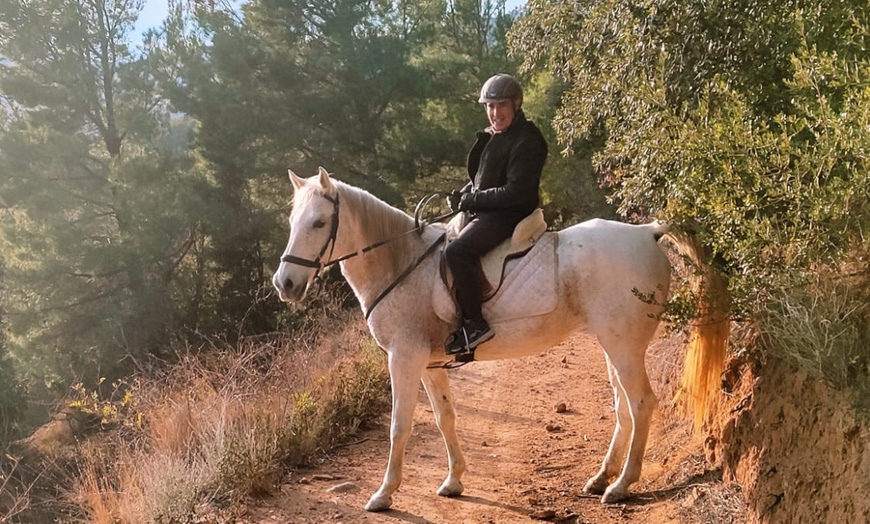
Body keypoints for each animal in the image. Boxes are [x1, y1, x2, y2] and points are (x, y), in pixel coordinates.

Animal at [274, 168, 724, 512]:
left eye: (319, 223)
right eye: (293, 223)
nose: (285, 284)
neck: (401, 262)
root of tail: (647, 232)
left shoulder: (403, 358)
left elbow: (400, 426)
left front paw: (384, 494)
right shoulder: (429, 364)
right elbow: (445, 417)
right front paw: (454, 481)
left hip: (624, 346)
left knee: (641, 404)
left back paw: (620, 487)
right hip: (613, 345)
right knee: (624, 408)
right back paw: (601, 478)